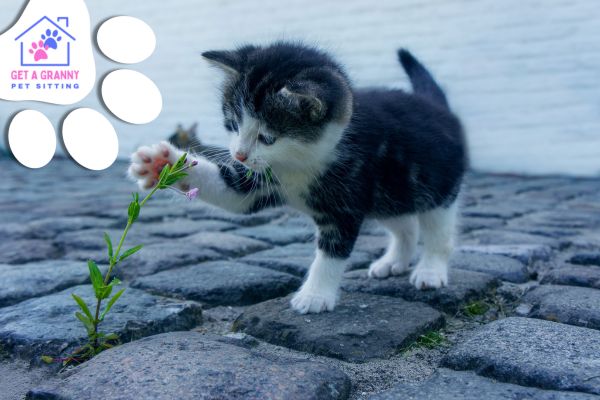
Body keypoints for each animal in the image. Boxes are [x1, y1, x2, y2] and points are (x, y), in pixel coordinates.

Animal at [130, 42, 468, 314]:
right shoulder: (259, 181)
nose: (239, 155)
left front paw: (315, 295)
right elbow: (231, 192)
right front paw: (162, 164)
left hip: (436, 186)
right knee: (405, 224)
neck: (299, 162)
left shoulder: (346, 199)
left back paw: (430, 270)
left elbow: (332, 251)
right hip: (389, 194)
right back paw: (394, 261)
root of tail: (437, 106)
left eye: (267, 137)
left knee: (438, 230)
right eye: (233, 124)